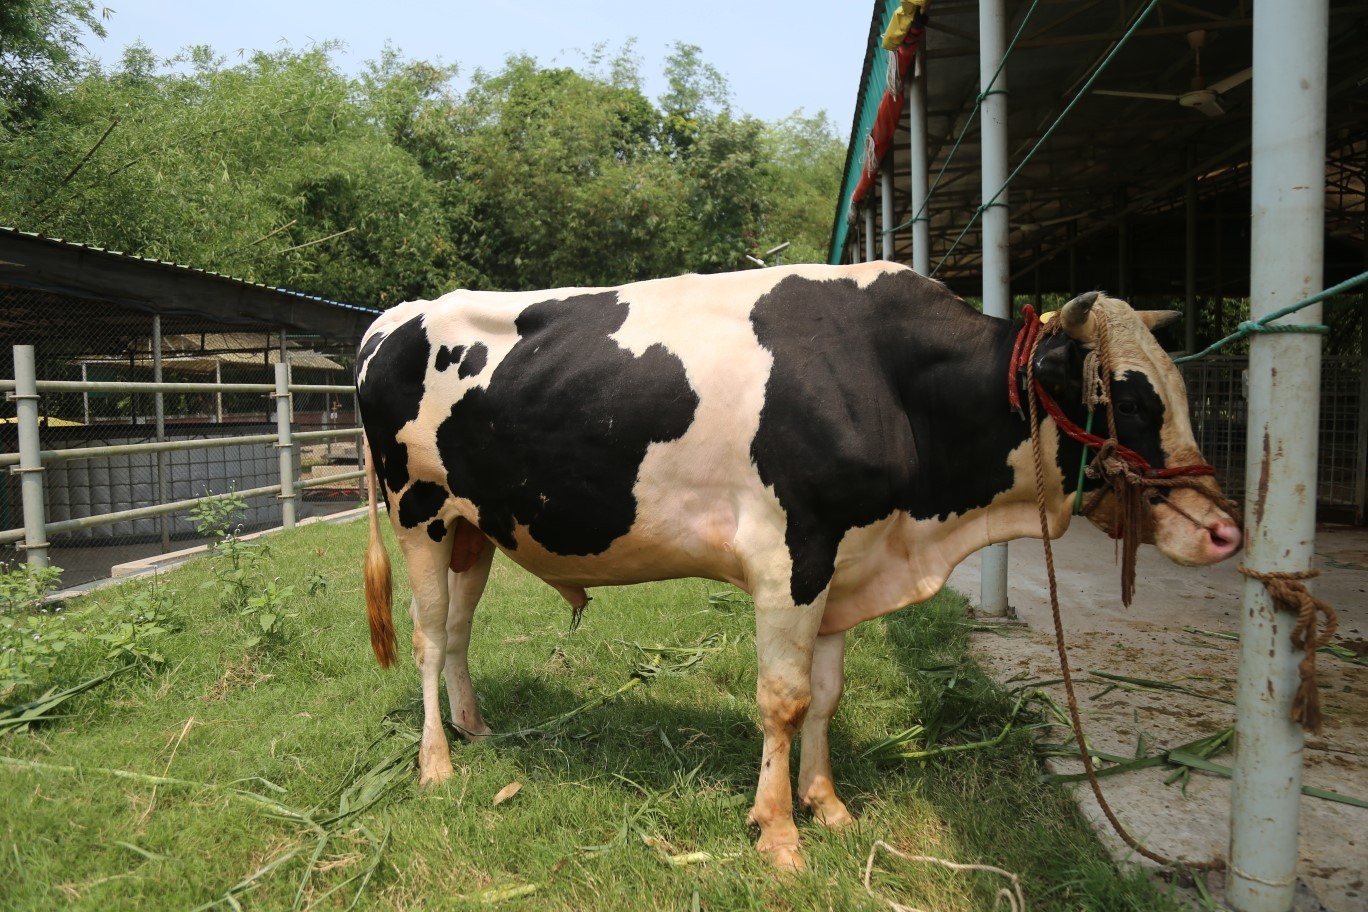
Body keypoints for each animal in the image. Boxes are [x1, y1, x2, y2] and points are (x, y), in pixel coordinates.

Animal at [355, 262, 1240, 870]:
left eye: (1176, 387)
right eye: (1126, 397)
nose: (1226, 529)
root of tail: (398, 314)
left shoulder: (845, 563)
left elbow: (826, 695)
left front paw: (828, 803)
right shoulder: (791, 556)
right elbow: (783, 700)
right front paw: (779, 833)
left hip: (472, 528)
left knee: (460, 632)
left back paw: (474, 726)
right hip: (416, 513)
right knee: (428, 638)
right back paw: (436, 763)